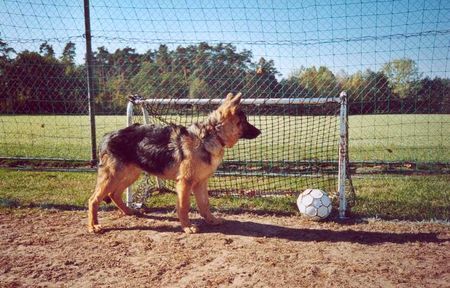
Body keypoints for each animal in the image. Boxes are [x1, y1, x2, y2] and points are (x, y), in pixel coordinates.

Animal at [88, 93, 260, 233]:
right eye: (244, 121)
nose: (260, 132)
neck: (211, 135)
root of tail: (106, 136)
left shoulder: (201, 183)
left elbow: (205, 204)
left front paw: (211, 220)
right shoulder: (185, 183)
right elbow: (184, 206)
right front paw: (187, 227)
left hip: (130, 174)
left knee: (114, 193)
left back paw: (129, 212)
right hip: (113, 176)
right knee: (93, 199)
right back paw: (93, 226)